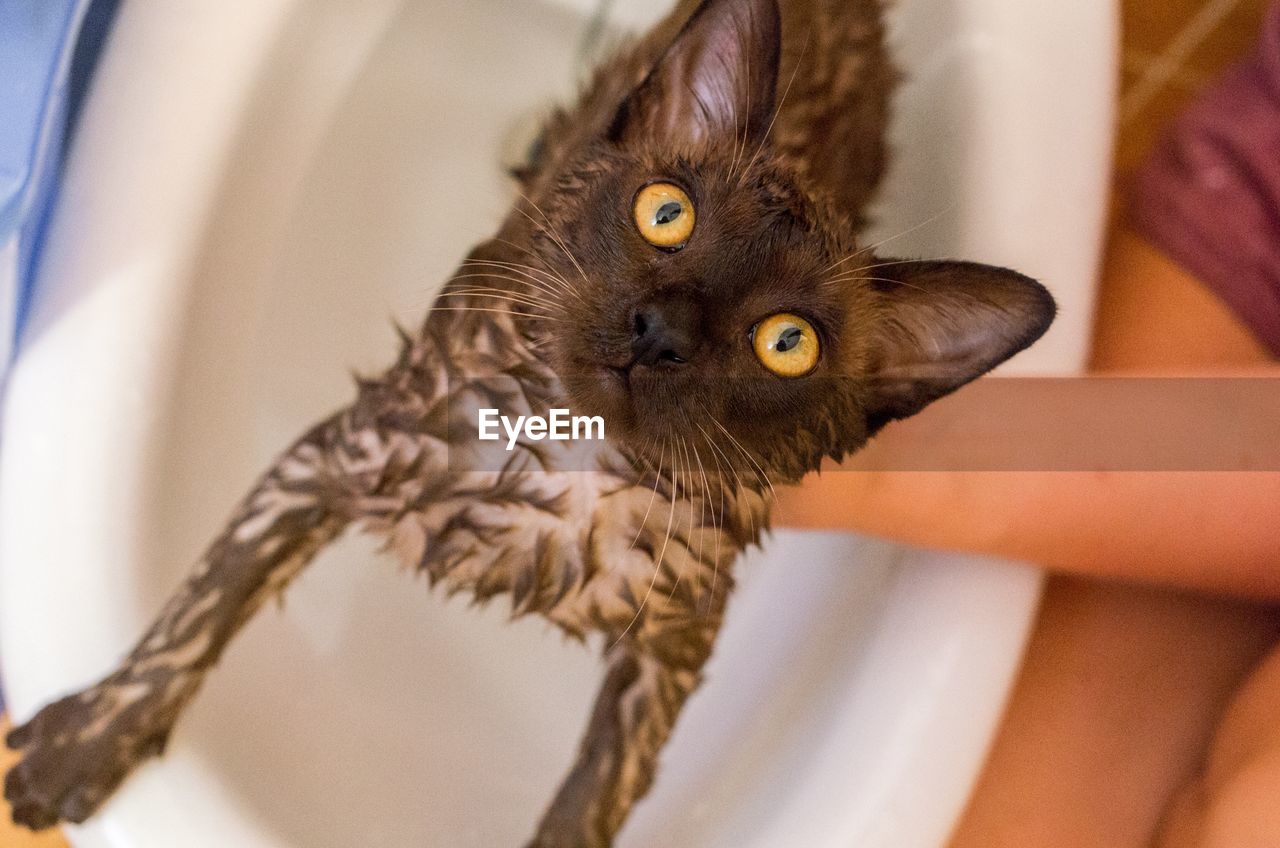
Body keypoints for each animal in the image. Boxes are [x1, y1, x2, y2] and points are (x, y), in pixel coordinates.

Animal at [7, 1, 1049, 848]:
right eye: (665, 214)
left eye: (786, 343)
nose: (661, 330)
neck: (571, 461)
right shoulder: (339, 456)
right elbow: (198, 612)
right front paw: (84, 741)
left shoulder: (668, 641)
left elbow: (594, 797)